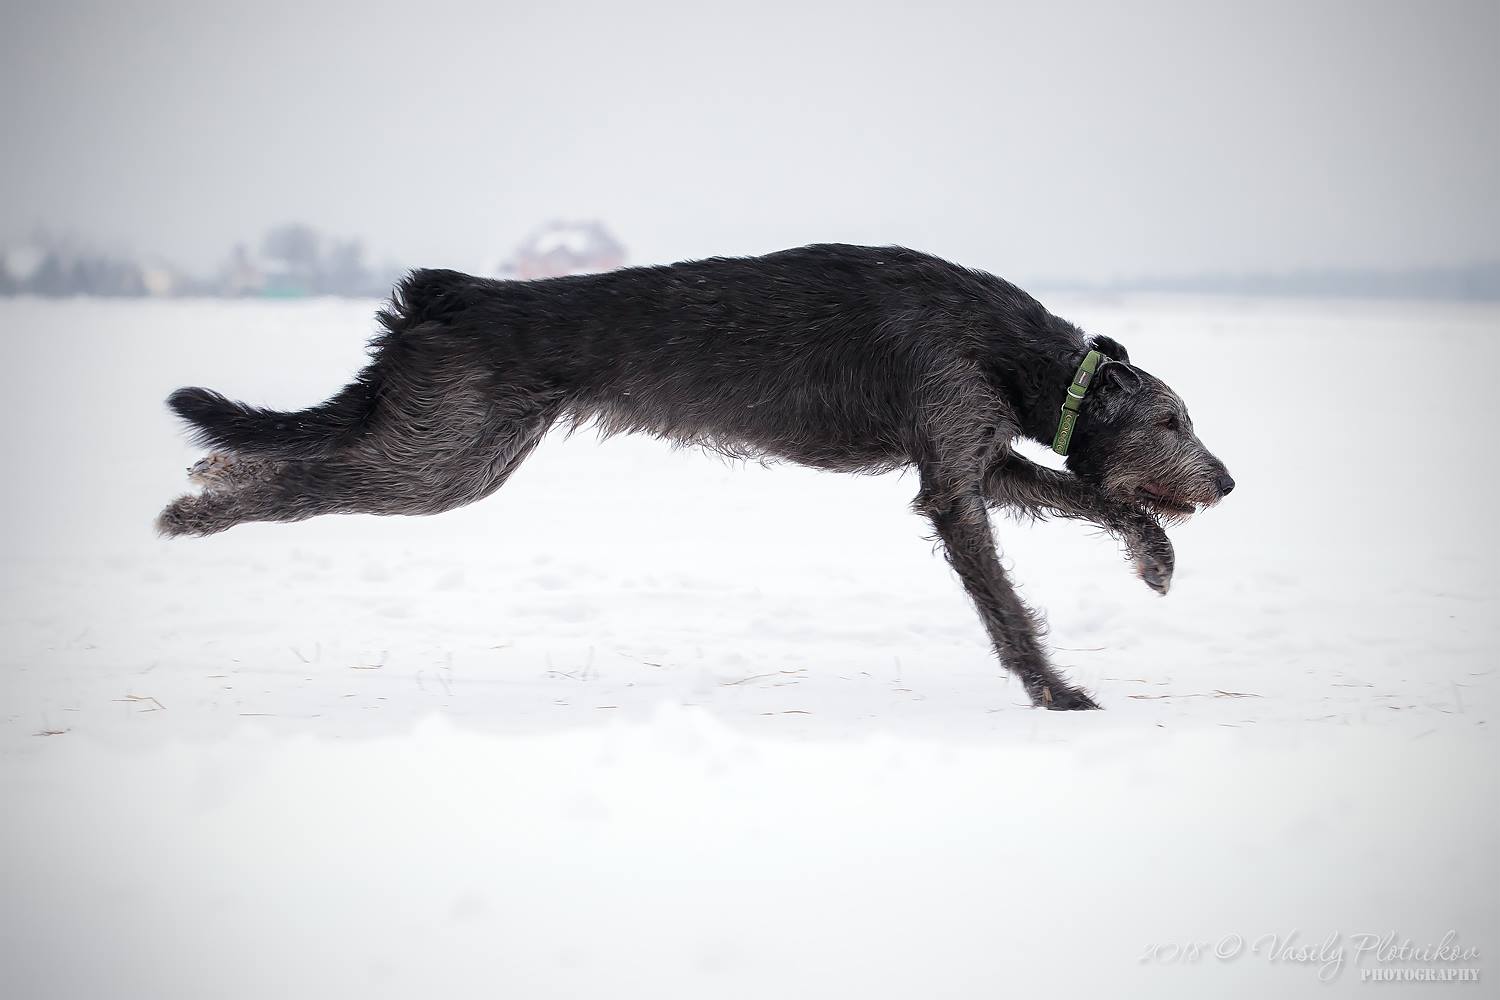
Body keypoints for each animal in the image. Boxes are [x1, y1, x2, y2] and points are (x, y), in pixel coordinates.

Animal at [161, 245, 1230, 707]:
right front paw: (1053, 691)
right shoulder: (949, 465)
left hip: (453, 443)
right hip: (446, 458)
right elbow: (1005, 602)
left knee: (314, 451)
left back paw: (214, 468)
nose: (1226, 484)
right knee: (309, 482)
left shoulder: (978, 455)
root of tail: (445, 295)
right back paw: (197, 509)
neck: (1020, 352)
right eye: (1173, 419)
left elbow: (1082, 493)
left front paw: (1155, 556)